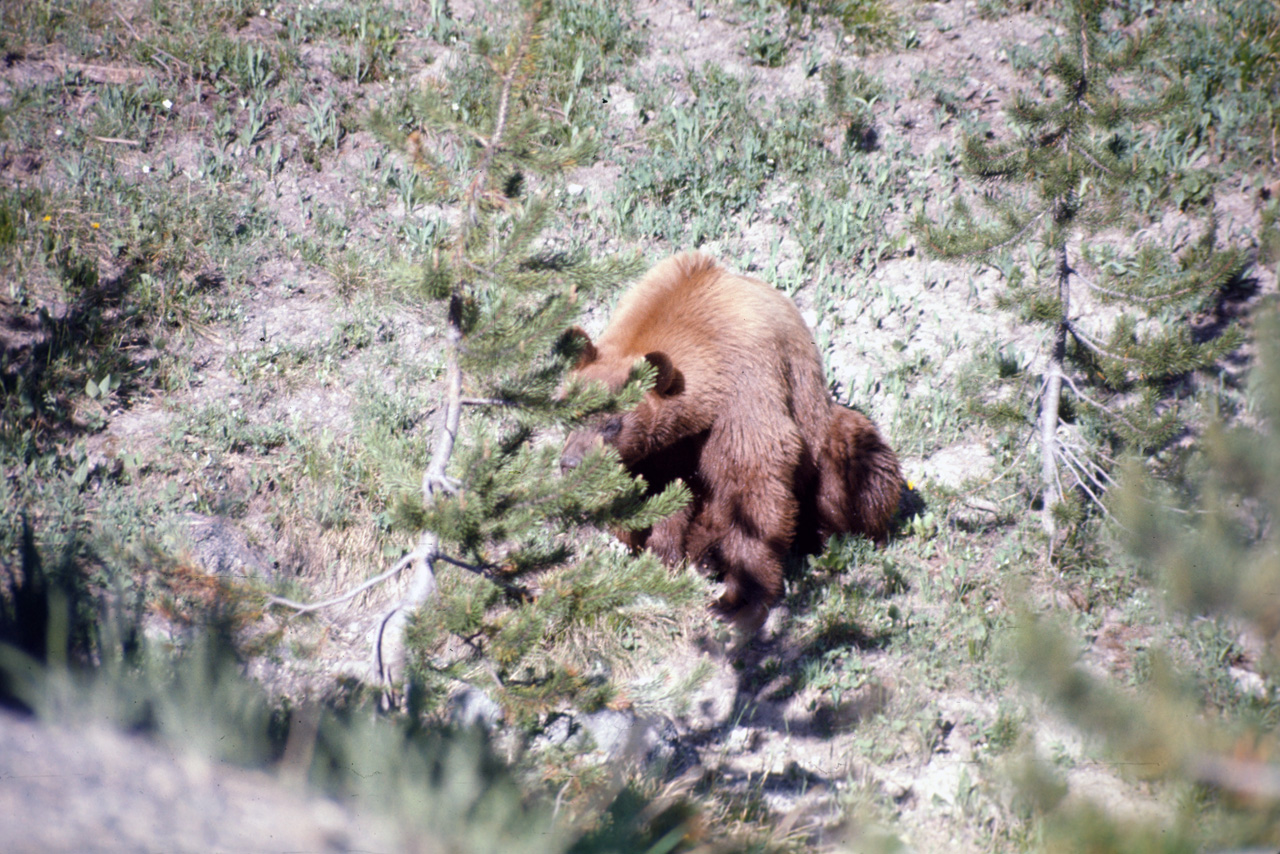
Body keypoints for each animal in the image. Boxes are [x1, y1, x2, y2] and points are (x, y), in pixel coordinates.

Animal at [560, 253, 901, 635]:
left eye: (611, 424)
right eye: (570, 414)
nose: (570, 463)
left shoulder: (744, 391)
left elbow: (755, 483)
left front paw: (737, 600)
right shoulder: (658, 450)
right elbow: (658, 497)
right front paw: (659, 556)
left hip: (826, 436)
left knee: (861, 467)